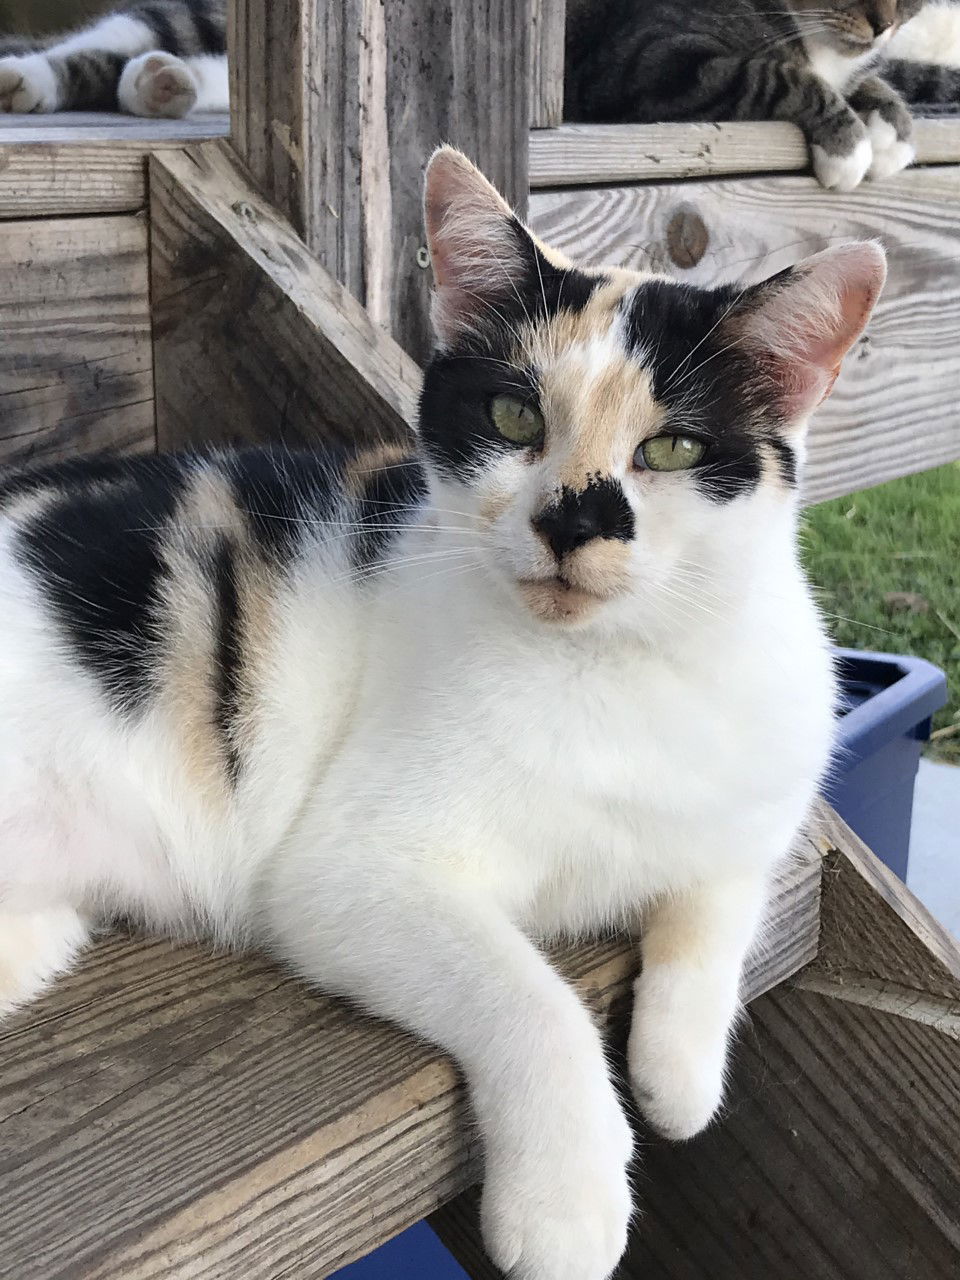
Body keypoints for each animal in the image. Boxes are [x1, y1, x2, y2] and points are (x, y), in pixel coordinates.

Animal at [0, 152, 885, 1280]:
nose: (572, 519)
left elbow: (718, 903)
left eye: (676, 448)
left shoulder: (754, 813)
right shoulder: (353, 871)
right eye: (514, 419)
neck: (614, 671)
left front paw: (679, 1071)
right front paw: (568, 1201)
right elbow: (531, 996)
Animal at [568, 0, 960, 189]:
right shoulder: (649, 63)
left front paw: (893, 134)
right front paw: (849, 148)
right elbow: (773, 75)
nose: (883, 25)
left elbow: (870, 80)